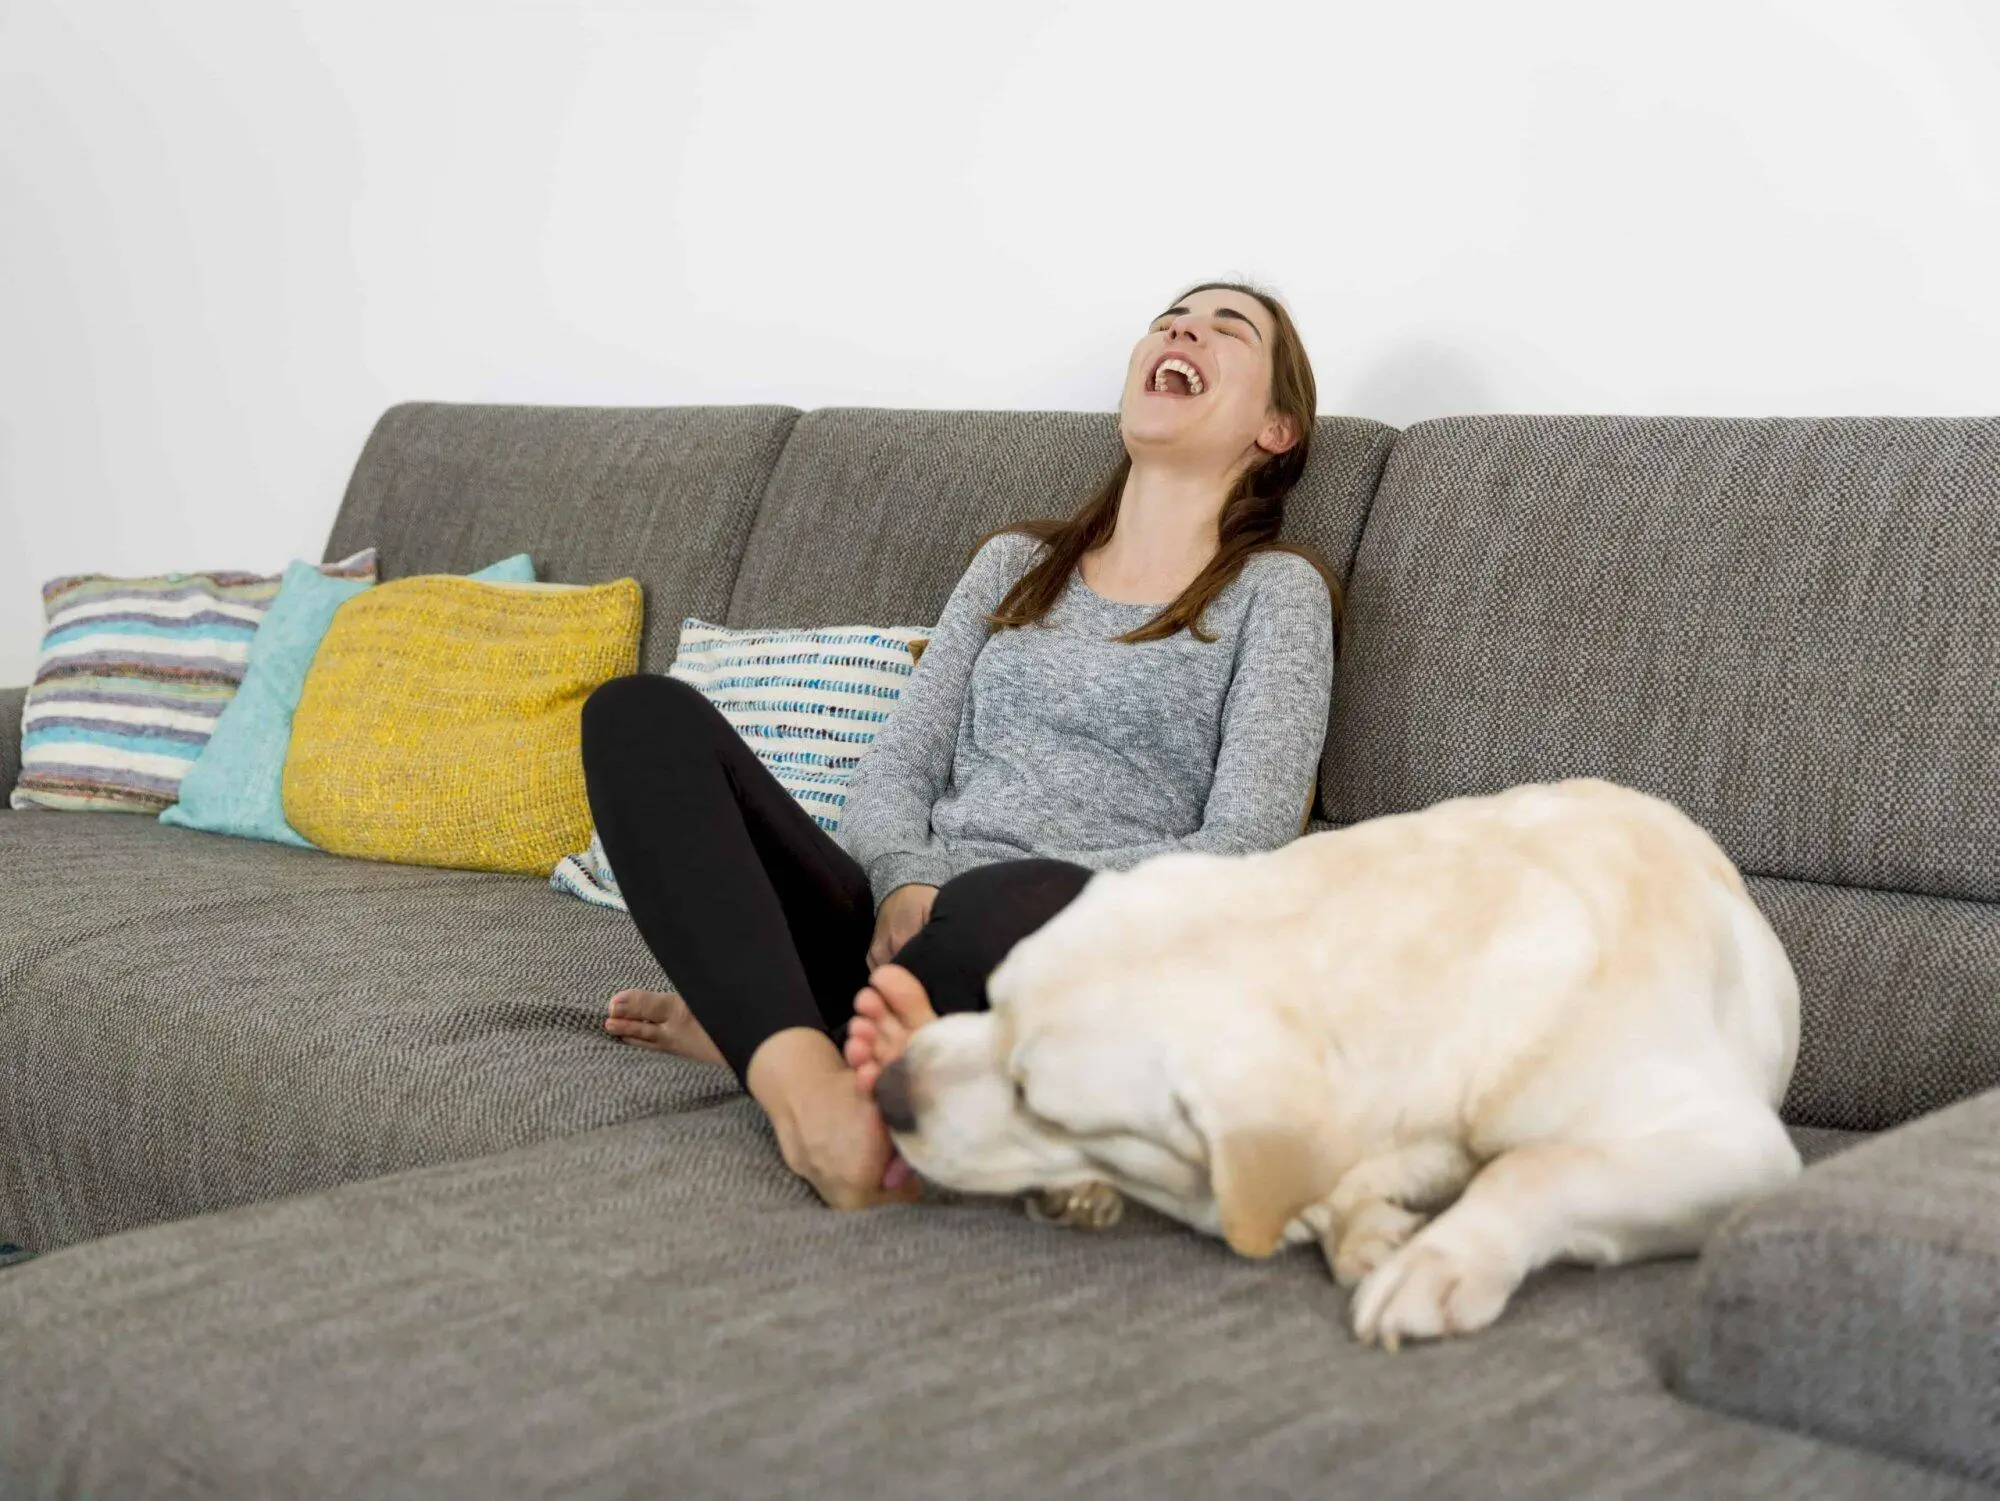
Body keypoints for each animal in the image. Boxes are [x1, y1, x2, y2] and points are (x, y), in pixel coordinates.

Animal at [872, 780, 1800, 1360]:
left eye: (1037, 1098)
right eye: (990, 1000)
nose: (885, 1091)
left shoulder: (1738, 1144)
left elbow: (1537, 1166)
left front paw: (1439, 1260)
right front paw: (1366, 1225)